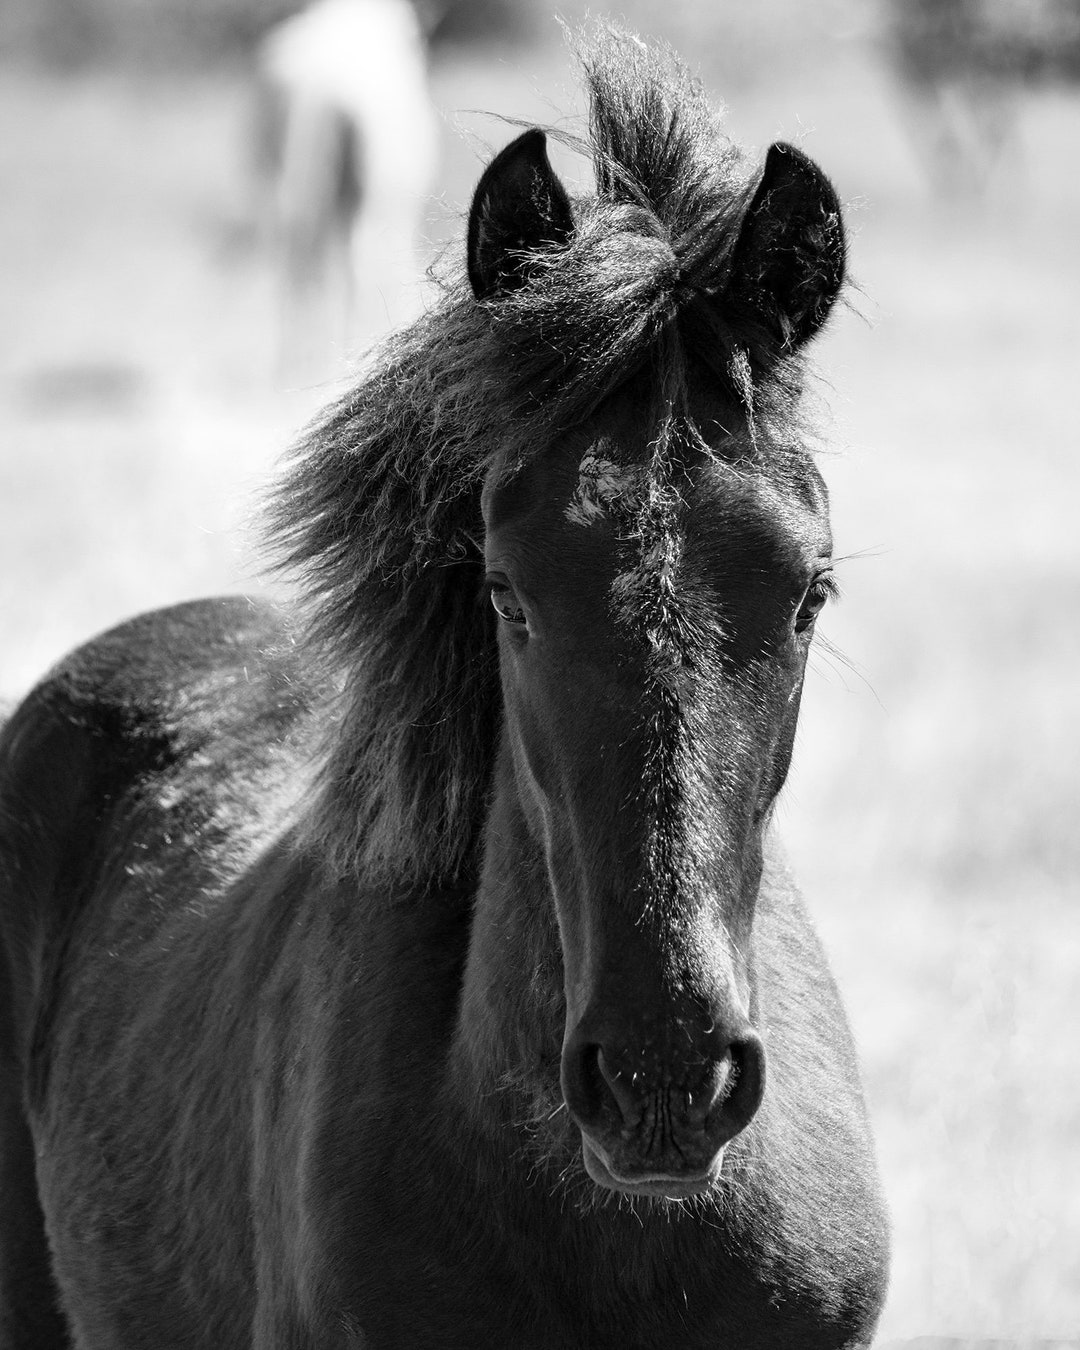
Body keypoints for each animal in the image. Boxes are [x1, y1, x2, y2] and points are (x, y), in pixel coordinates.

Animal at [253, 0, 439, 374]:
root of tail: (316, 81)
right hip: (363, 198)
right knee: (356, 269)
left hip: (280, 195)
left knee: (291, 267)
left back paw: (293, 363)